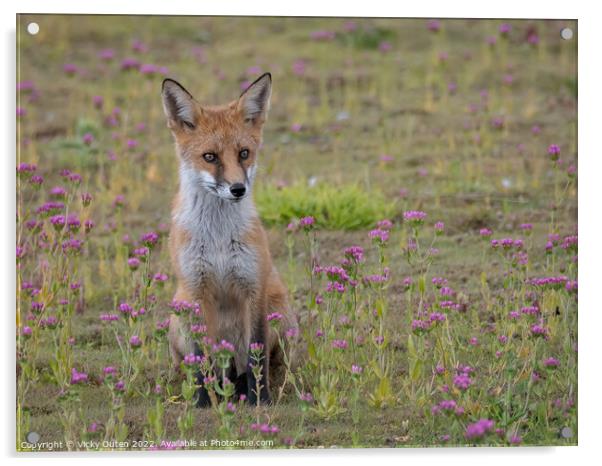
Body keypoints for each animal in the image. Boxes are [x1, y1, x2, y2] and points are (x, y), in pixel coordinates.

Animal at [159, 71, 296, 406]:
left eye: (244, 153)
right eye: (210, 157)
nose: (237, 189)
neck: (218, 240)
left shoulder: (253, 287)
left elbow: (256, 355)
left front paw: (260, 398)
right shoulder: (196, 290)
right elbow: (200, 357)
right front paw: (202, 400)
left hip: (281, 313)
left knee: (254, 363)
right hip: (178, 316)